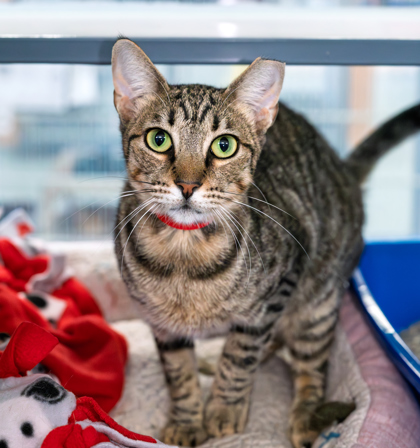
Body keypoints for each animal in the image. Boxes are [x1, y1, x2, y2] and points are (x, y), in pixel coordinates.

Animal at [111, 38, 420, 448]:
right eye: (158, 139)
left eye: (224, 146)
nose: (188, 185)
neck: (184, 253)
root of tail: (341, 169)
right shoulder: (160, 322)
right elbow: (178, 372)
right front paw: (187, 420)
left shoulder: (284, 278)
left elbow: (241, 354)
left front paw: (224, 410)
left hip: (317, 303)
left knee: (308, 364)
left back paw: (307, 417)